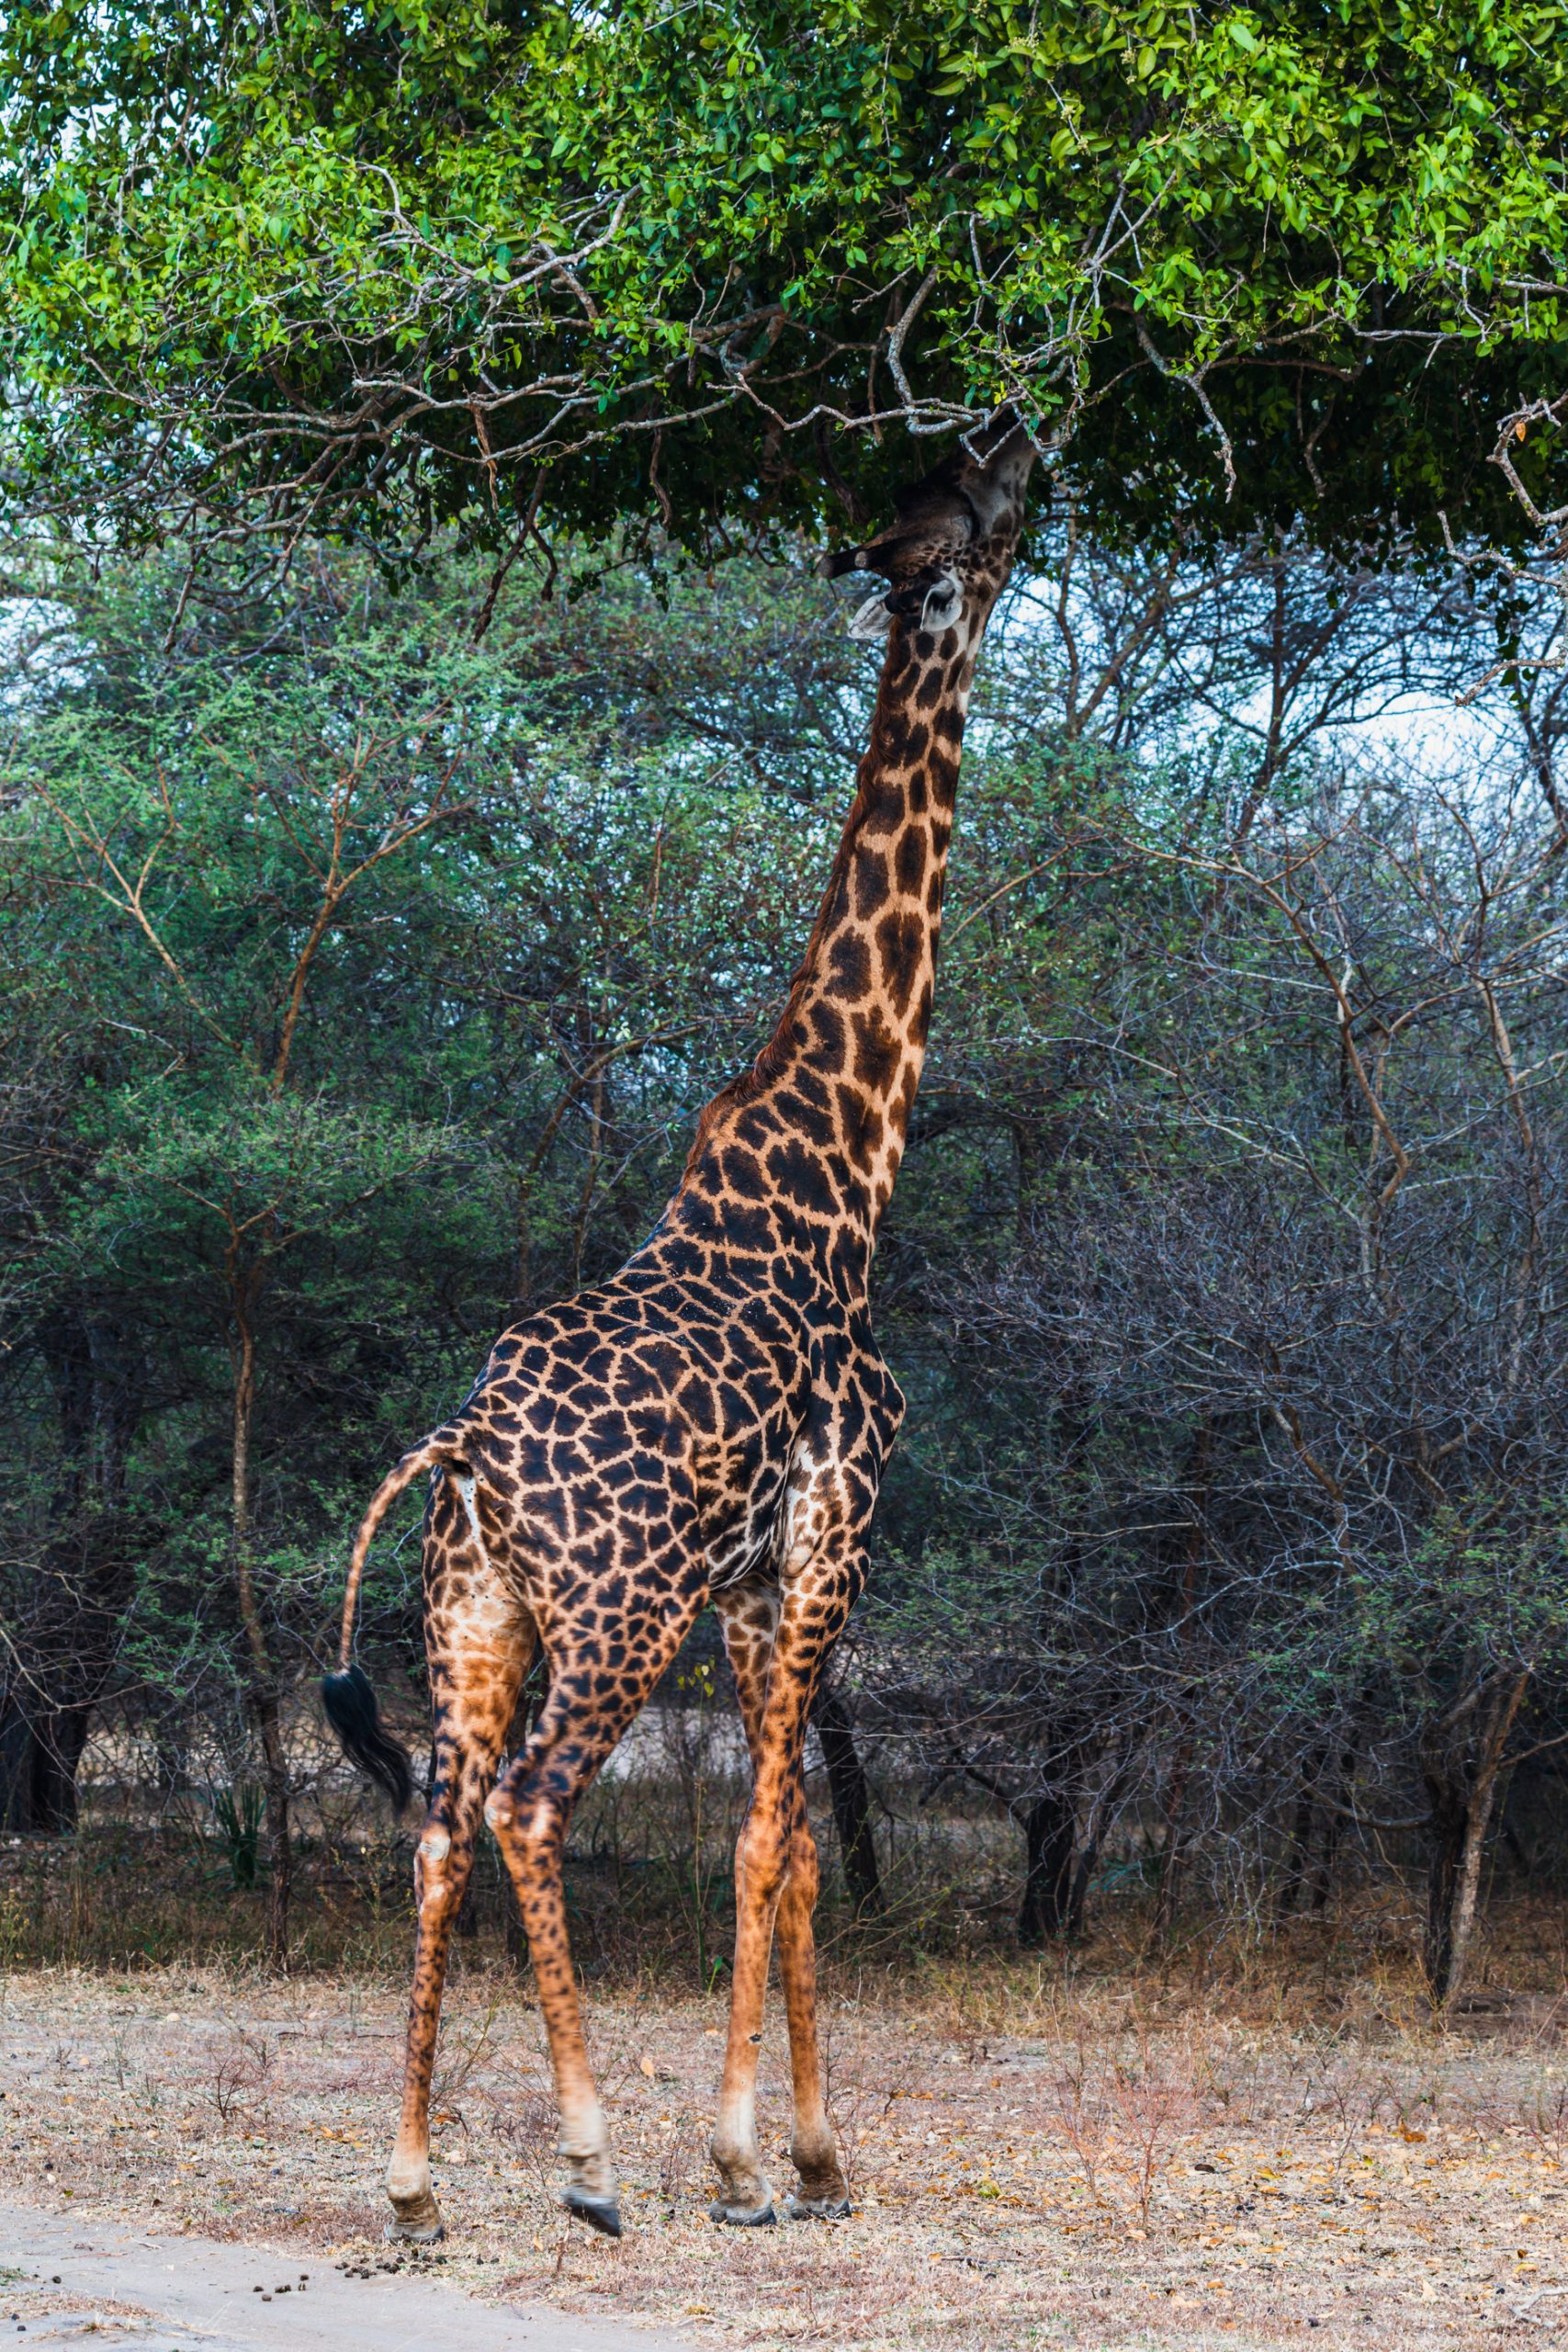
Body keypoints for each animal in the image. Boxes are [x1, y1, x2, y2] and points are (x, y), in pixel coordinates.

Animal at [323, 414, 1034, 2243]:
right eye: (975, 504)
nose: (1025, 439)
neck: (838, 1186)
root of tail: (466, 1446)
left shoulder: (751, 1585)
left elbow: (794, 1843)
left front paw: (810, 2154)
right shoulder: (829, 1537)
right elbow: (773, 1841)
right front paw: (752, 2159)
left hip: (475, 1617)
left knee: (435, 1822)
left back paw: (415, 2184)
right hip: (610, 1614)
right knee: (526, 1805)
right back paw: (583, 2160)